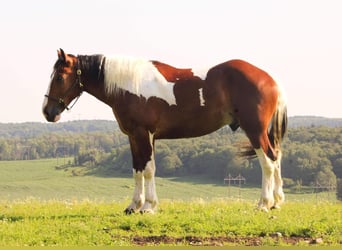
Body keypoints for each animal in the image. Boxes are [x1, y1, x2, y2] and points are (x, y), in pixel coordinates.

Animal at [44, 48, 288, 213]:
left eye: (59, 77)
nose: (48, 112)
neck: (129, 85)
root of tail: (270, 81)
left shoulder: (144, 134)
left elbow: (148, 169)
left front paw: (148, 207)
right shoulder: (135, 137)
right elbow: (137, 169)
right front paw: (134, 205)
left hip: (255, 131)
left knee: (267, 162)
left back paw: (264, 203)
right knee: (276, 157)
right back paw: (276, 201)